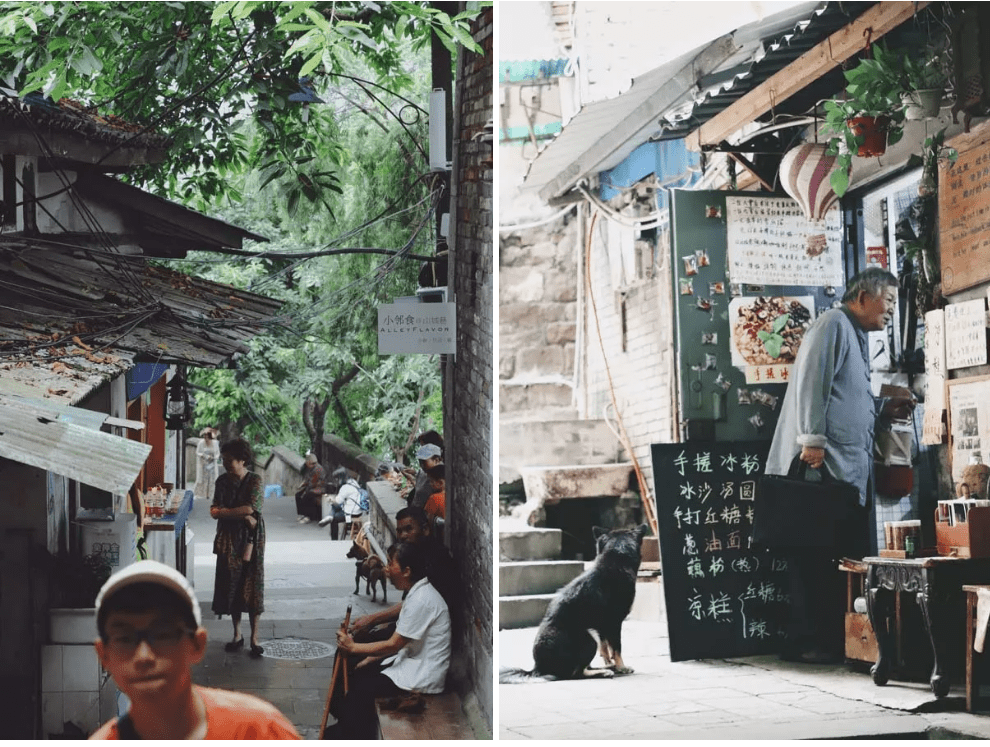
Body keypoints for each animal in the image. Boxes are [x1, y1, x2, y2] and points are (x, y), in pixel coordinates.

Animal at [496, 524, 652, 684]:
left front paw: (611, 663)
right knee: (577, 673)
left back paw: (605, 668)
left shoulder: (602, 625)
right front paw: (622, 667)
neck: (617, 558)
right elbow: (616, 648)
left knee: (583, 667)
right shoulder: (614, 623)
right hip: (589, 640)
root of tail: (538, 669)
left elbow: (605, 648)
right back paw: (603, 672)